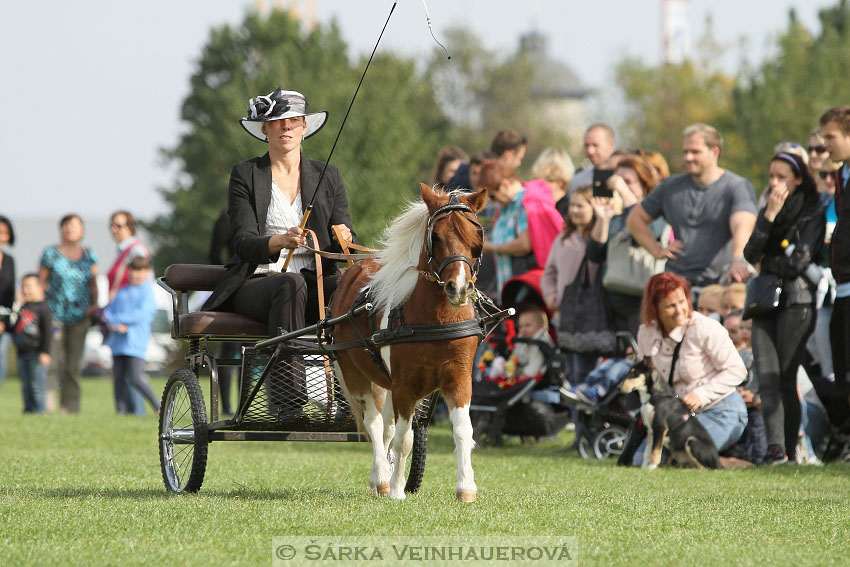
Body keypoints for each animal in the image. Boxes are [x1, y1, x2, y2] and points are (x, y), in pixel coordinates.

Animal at [330, 183, 486, 502]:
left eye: (476, 237)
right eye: (436, 237)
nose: (459, 288)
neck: (436, 320)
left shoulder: (459, 378)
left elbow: (463, 431)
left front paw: (466, 488)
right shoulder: (405, 385)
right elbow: (405, 438)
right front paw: (397, 490)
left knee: (386, 427)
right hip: (353, 372)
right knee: (375, 423)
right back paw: (382, 478)